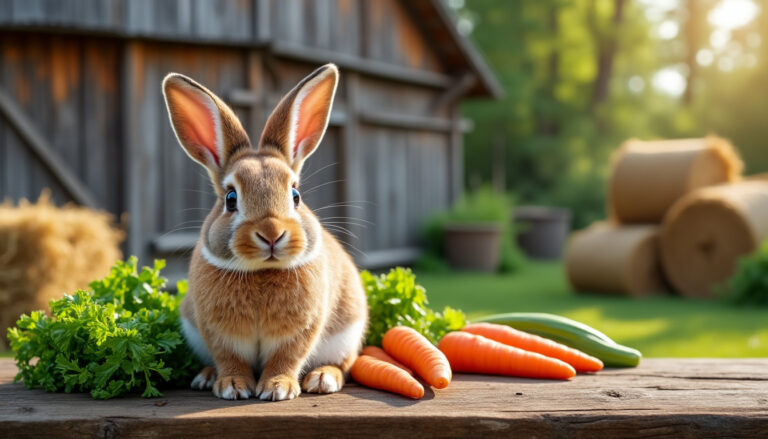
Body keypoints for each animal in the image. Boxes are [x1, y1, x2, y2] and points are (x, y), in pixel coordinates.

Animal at [162, 64, 368, 401]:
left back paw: (323, 378)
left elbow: (286, 357)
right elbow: (229, 357)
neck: (260, 271)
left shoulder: (300, 332)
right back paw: (206, 377)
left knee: (346, 364)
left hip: (348, 333)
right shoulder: (217, 333)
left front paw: (277, 388)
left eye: (295, 195)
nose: (271, 233)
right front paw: (232, 386)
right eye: (231, 198)